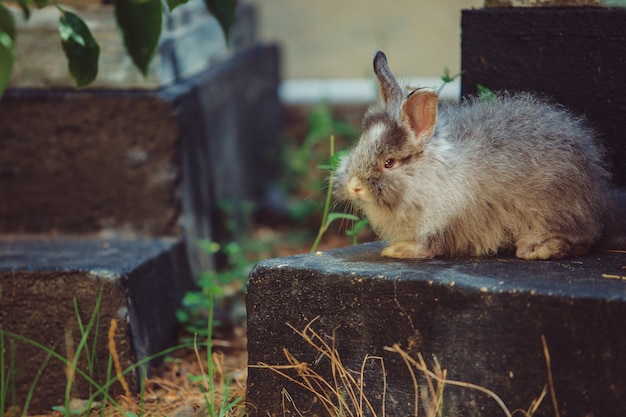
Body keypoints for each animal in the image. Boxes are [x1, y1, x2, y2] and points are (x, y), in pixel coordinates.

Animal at [334, 50, 612, 258]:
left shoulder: (444, 224)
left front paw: (398, 250)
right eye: (358, 148)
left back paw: (535, 249)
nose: (355, 186)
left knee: (581, 240)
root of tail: (597, 189)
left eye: (389, 163)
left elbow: (429, 246)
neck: (424, 178)